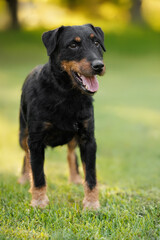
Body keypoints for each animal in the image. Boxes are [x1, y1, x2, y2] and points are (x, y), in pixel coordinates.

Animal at [18, 23, 105, 209]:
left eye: (96, 42)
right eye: (73, 45)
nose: (99, 65)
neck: (66, 94)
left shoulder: (88, 139)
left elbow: (91, 175)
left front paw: (92, 203)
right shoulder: (35, 140)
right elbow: (37, 173)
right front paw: (39, 202)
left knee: (71, 154)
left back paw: (75, 178)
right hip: (22, 134)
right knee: (26, 156)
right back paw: (23, 178)